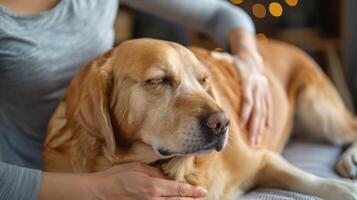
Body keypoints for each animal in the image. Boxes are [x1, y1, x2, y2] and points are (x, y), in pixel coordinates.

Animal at [43, 38, 356, 199]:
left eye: (204, 80)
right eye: (159, 80)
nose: (223, 122)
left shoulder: (263, 159)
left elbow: (315, 181)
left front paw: (345, 188)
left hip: (322, 114)